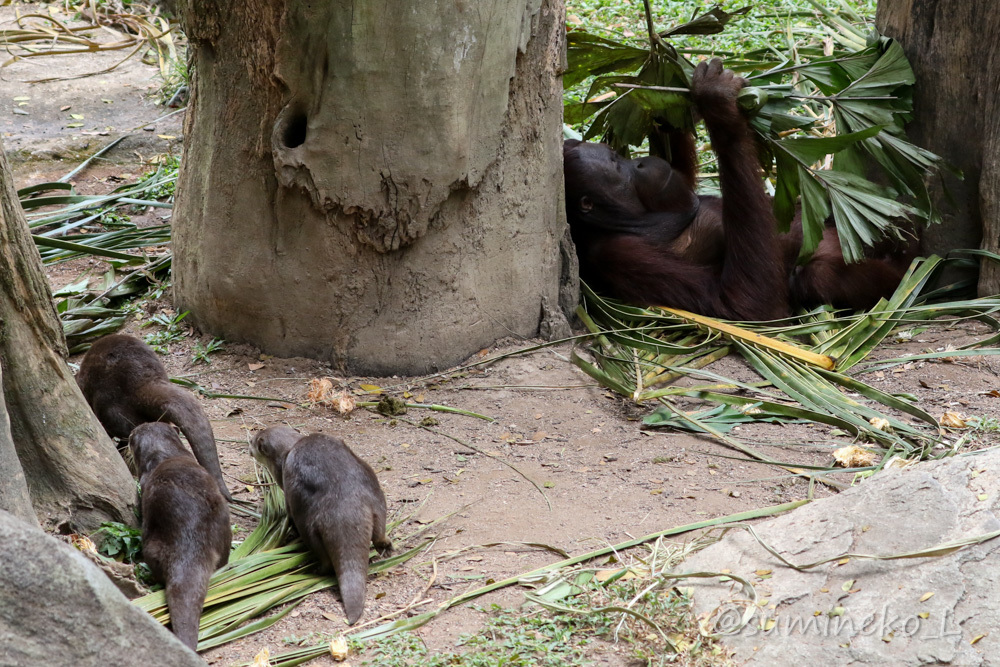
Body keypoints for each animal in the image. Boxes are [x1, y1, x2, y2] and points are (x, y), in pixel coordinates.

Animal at [250, 428, 390, 628]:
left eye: (253, 442)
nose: (249, 445)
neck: (290, 449)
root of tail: (345, 507)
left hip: (309, 526)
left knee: (323, 556)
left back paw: (315, 571)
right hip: (377, 499)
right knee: (379, 532)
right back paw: (386, 547)